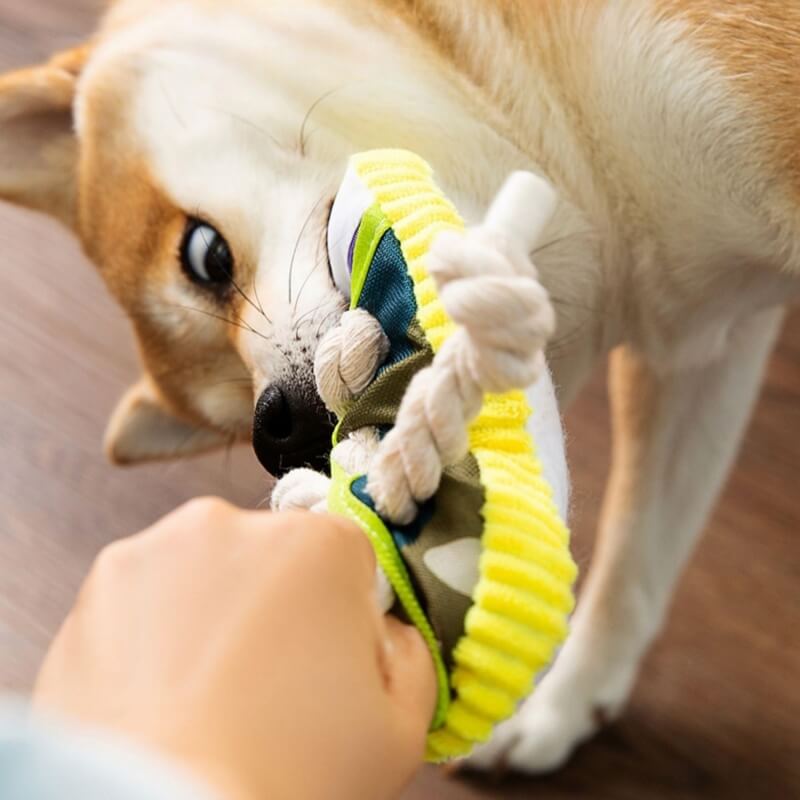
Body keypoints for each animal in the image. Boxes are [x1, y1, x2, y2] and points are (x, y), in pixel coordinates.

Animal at [1, 0, 800, 776]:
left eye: (204, 256)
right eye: (235, 423)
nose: (278, 430)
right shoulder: (701, 342)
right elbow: (640, 553)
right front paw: (565, 701)